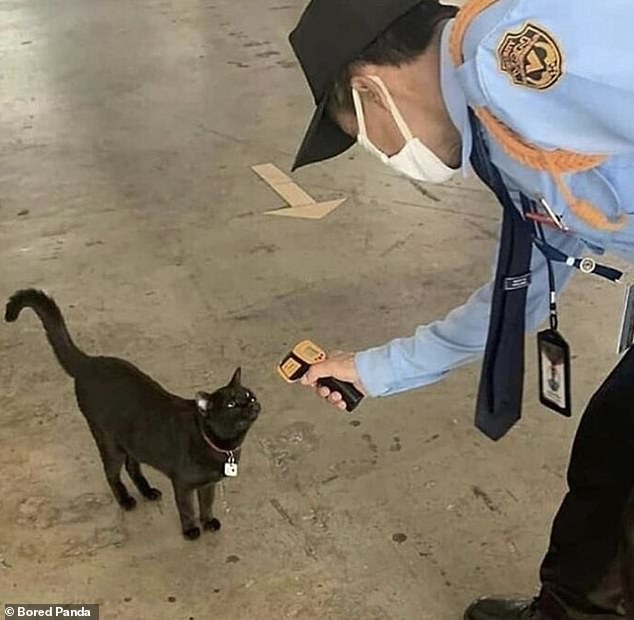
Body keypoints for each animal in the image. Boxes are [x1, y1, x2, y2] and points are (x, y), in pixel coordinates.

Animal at [4, 290, 260, 536]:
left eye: (249, 396)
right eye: (231, 404)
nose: (250, 405)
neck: (224, 448)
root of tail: (88, 362)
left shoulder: (208, 485)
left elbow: (207, 504)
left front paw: (208, 522)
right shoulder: (183, 483)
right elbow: (187, 508)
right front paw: (191, 531)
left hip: (133, 442)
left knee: (132, 467)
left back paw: (148, 492)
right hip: (108, 442)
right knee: (112, 474)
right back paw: (126, 501)